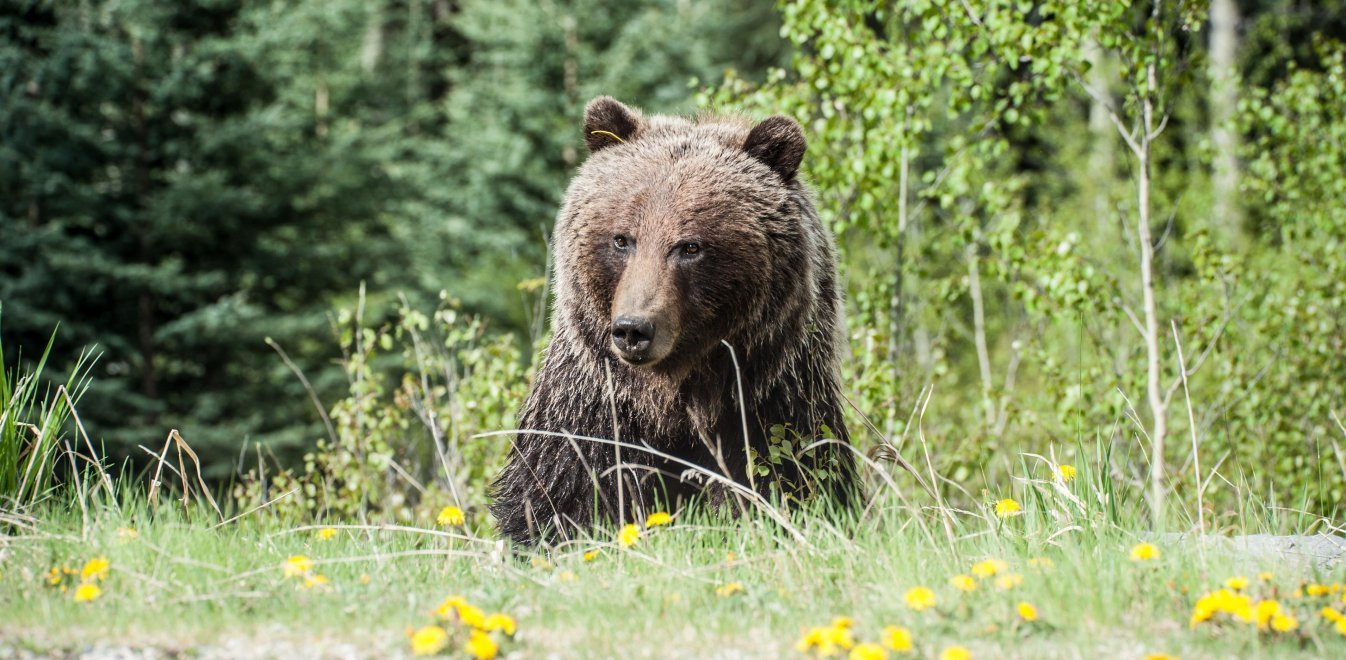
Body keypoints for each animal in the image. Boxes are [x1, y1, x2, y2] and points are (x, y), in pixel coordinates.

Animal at [489, 95, 856, 544]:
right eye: (622, 239)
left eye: (689, 246)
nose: (633, 329)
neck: (673, 399)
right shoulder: (593, 409)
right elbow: (562, 495)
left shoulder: (770, 403)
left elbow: (792, 480)